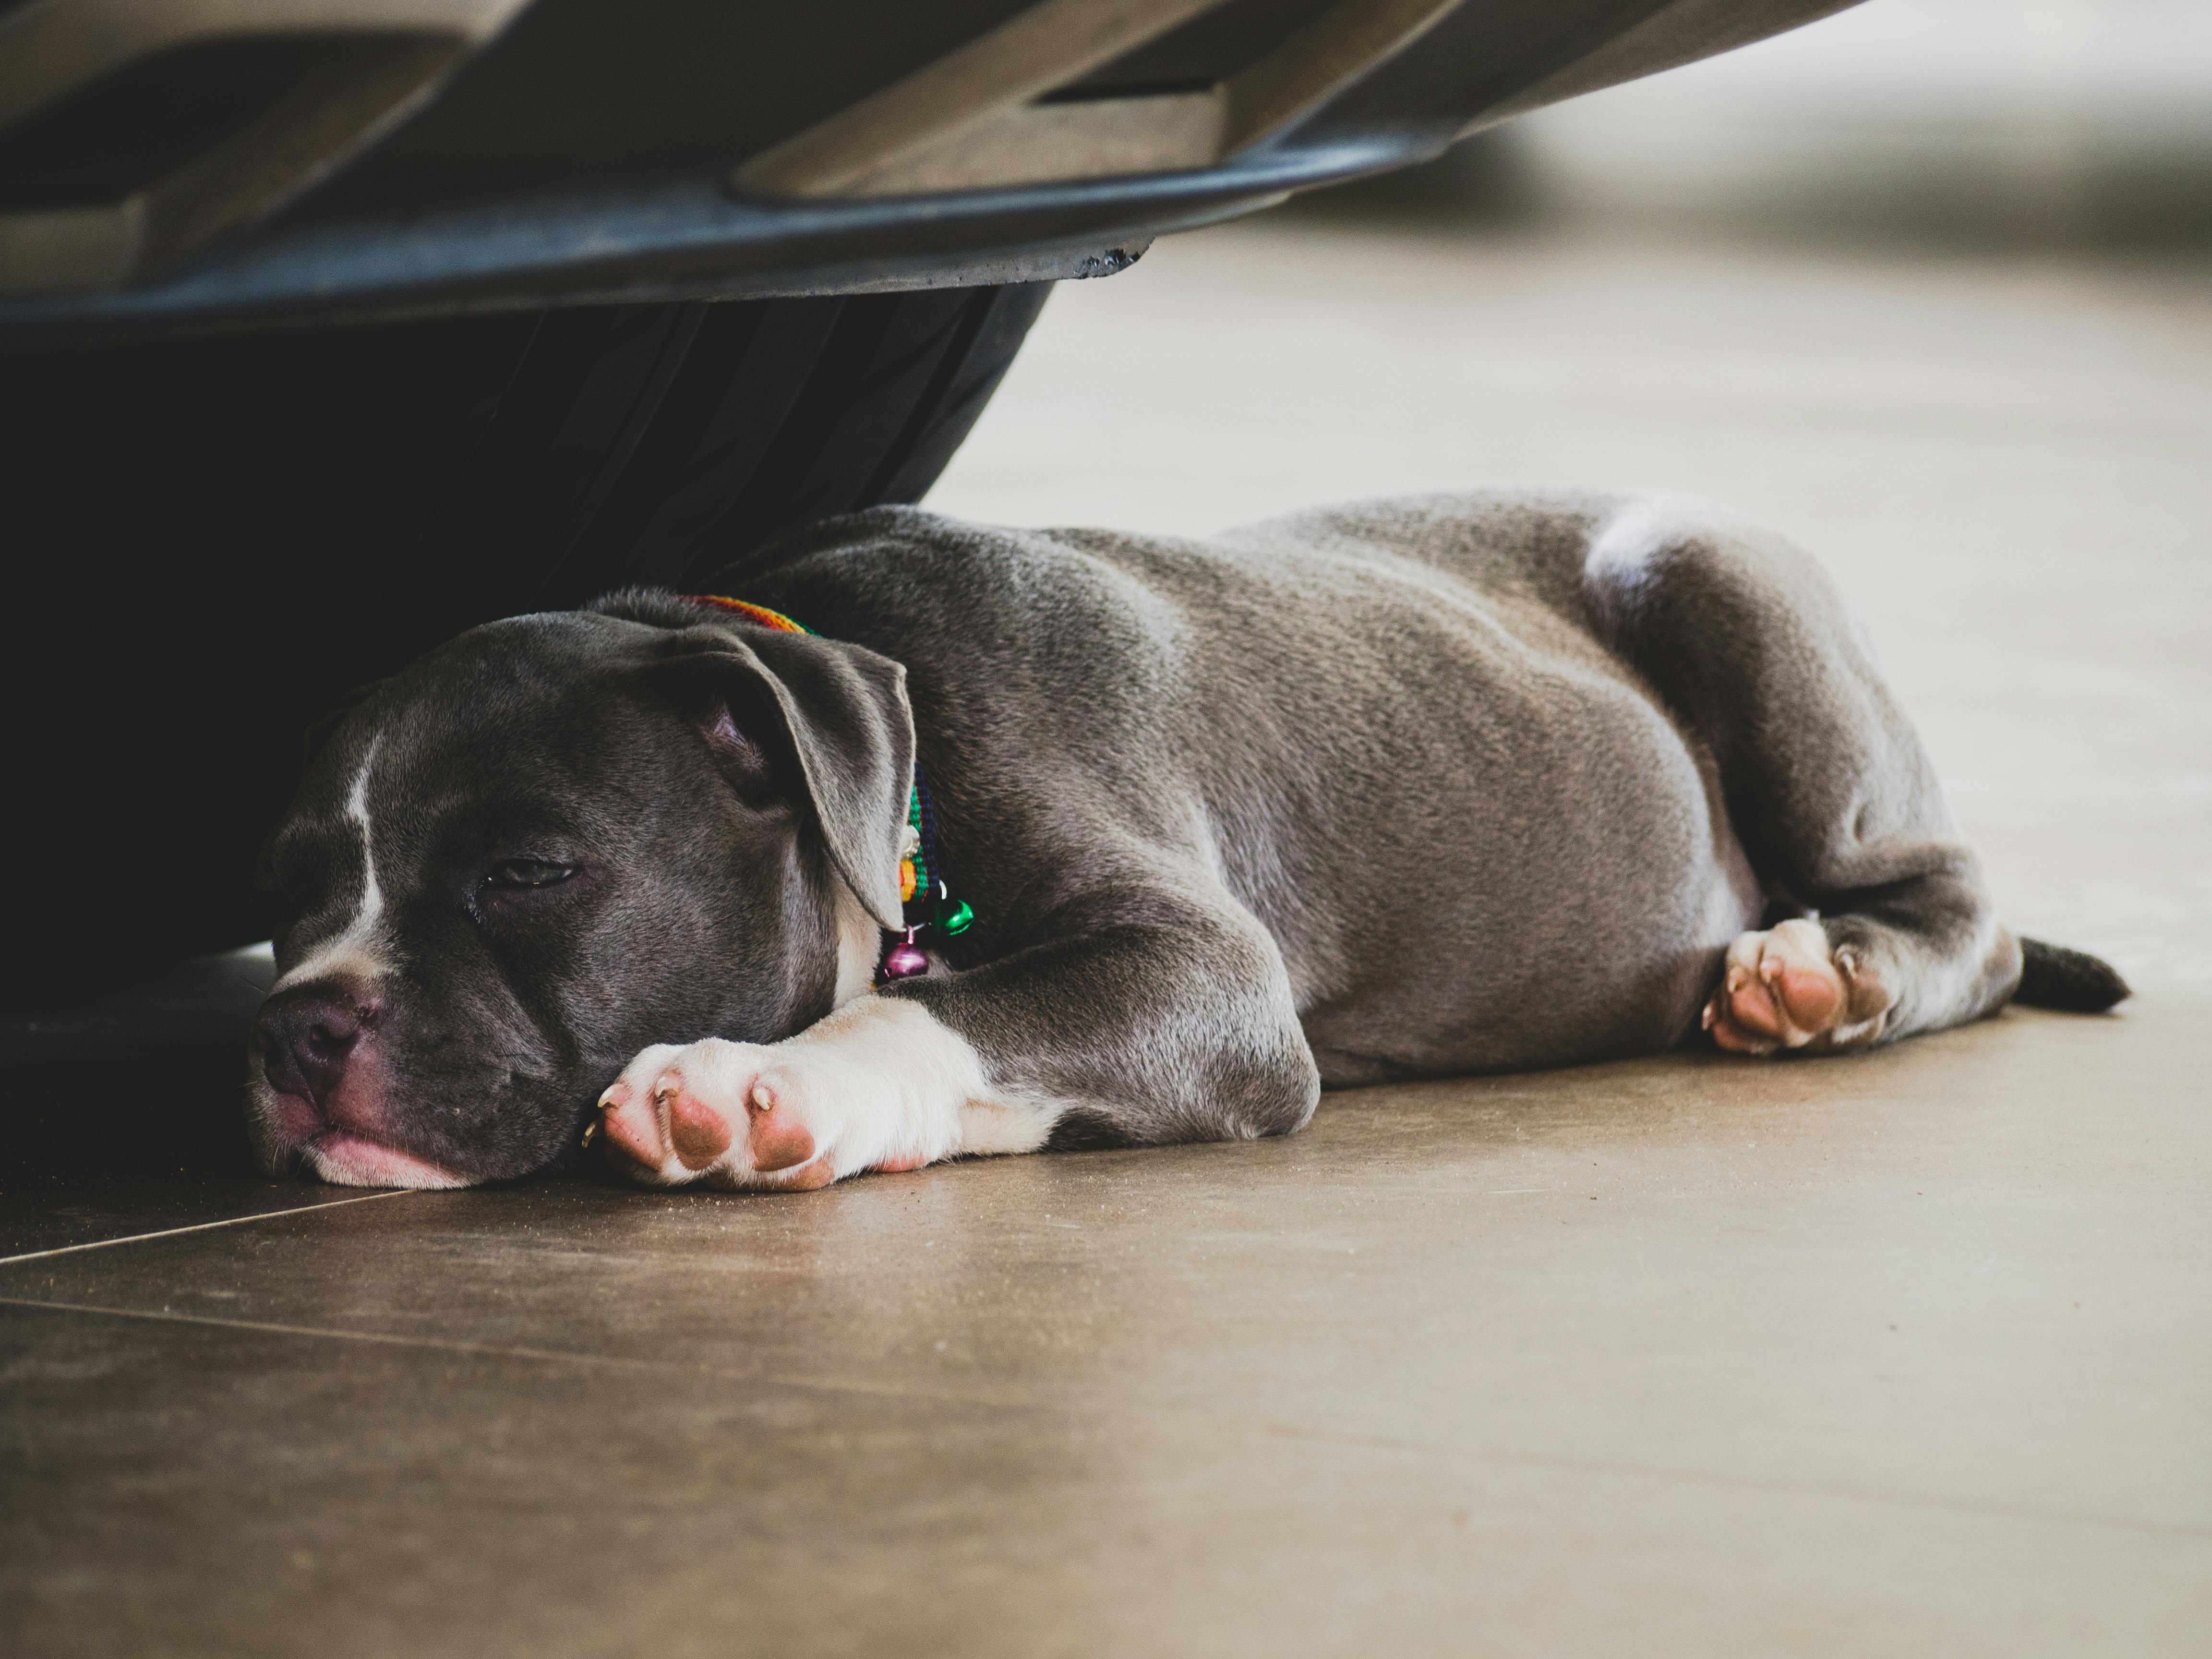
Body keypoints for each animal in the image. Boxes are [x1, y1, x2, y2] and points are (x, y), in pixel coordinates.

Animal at [251, 493, 2132, 1194]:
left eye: (529, 873)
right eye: (289, 890)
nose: (296, 1028)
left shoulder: (1205, 974)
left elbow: (937, 1010)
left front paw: (760, 1081)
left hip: (1716, 578)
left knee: (1958, 906)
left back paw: (1820, 974)